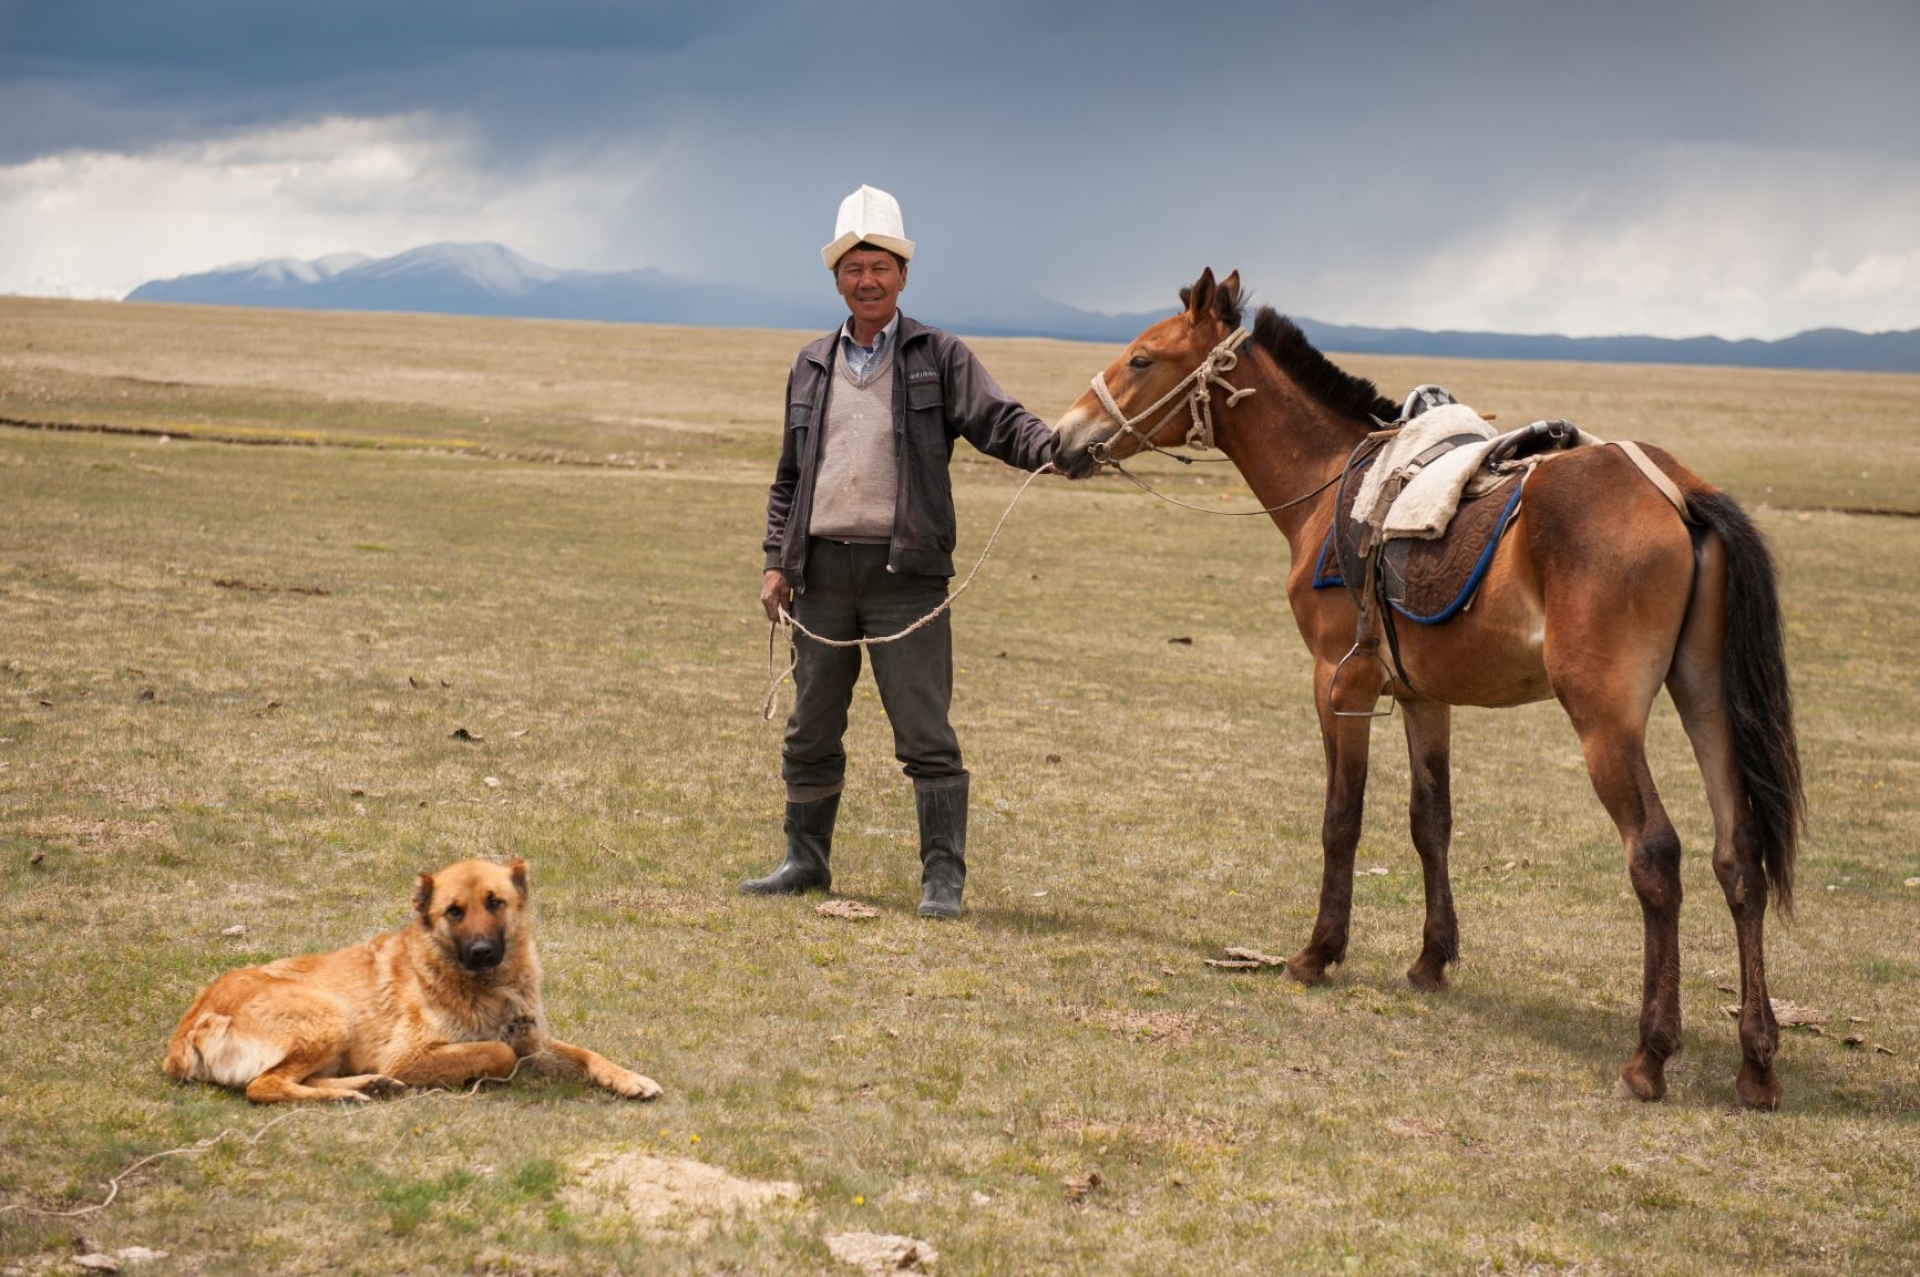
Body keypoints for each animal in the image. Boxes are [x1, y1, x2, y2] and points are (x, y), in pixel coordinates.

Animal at [165, 856, 660, 1106]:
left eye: (495, 902)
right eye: (454, 912)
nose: (482, 951)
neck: (487, 987)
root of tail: (191, 1026)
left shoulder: (535, 1042)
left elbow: (588, 1055)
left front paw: (630, 1078)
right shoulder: (409, 1057)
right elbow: (498, 1051)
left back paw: (366, 1086)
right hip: (330, 1016)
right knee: (261, 1087)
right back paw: (351, 1094)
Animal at [1059, 268, 1804, 1106]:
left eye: (1142, 358)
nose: (1063, 436)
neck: (1326, 483)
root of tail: (1679, 492)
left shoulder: (1339, 680)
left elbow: (1341, 819)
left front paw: (1317, 952)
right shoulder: (1423, 695)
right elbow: (1431, 821)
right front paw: (1430, 960)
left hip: (1605, 720)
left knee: (1656, 854)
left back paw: (1649, 1054)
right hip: (1706, 699)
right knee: (1738, 854)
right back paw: (1756, 1063)